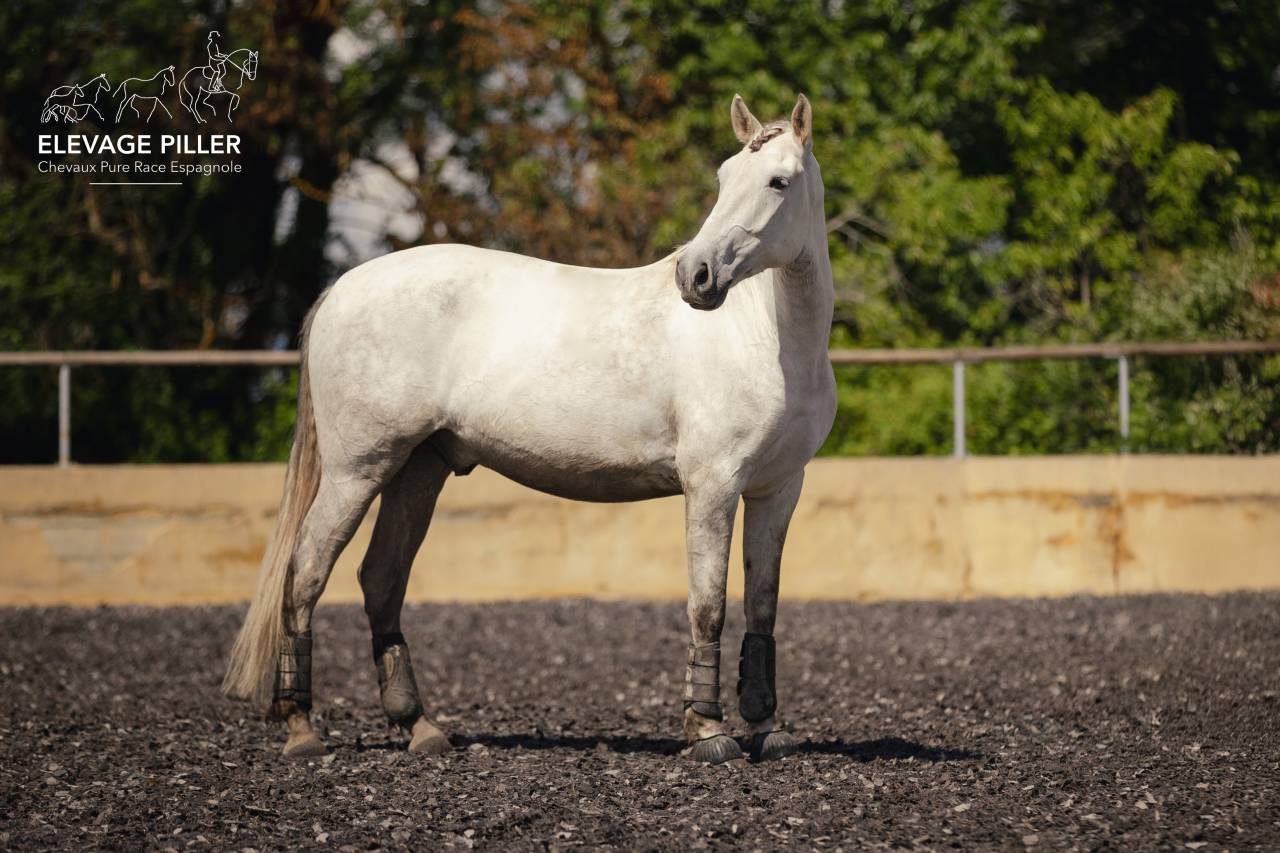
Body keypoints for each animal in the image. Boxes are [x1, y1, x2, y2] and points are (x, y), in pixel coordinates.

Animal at [222, 94, 837, 766]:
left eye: (778, 182)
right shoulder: (713, 488)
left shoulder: (778, 490)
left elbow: (763, 606)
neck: (768, 340)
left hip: (418, 469)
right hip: (356, 470)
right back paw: (301, 727)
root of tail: (341, 289)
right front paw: (708, 732)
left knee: (380, 579)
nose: (695, 277)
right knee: (306, 571)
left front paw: (767, 729)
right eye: (725, 178)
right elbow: (709, 606)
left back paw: (421, 728)